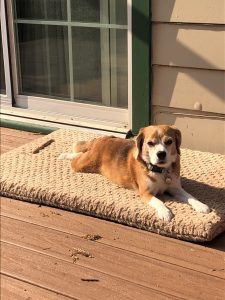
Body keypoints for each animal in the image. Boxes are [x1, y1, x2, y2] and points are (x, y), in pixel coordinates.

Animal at [59, 125, 210, 223]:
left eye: (169, 141)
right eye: (150, 143)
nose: (161, 154)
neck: (160, 171)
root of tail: (103, 138)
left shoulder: (175, 189)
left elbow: (190, 197)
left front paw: (201, 205)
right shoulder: (145, 193)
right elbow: (159, 201)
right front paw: (165, 212)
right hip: (84, 164)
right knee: (76, 158)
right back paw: (65, 155)